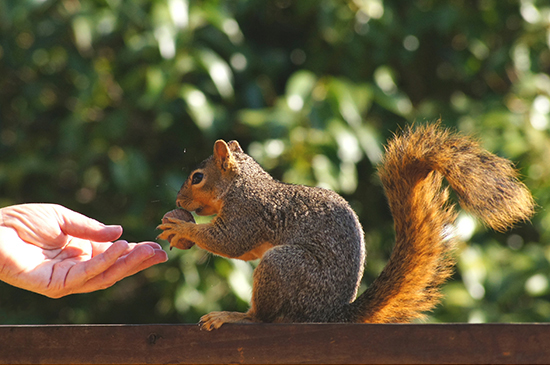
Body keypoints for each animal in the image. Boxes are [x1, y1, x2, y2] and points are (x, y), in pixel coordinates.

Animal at [157, 123, 536, 330]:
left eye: (197, 177)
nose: (178, 199)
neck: (241, 184)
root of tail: (330, 314)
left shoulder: (248, 211)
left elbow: (229, 242)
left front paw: (181, 230)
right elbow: (243, 249)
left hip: (284, 266)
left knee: (263, 318)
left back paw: (237, 316)